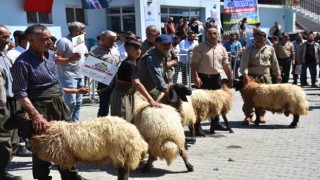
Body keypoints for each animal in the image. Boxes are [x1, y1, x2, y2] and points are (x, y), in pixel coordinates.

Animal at [4, 109, 149, 180]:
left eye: (15, 117)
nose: (4, 125)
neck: (45, 131)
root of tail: (136, 134)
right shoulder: (65, 159)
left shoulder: (64, 159)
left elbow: (66, 177)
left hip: (123, 153)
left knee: (123, 174)